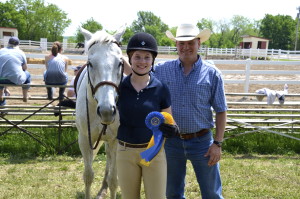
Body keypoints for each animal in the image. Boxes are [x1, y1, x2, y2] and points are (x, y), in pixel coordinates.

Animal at [76, 26, 125, 199]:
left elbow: (114, 180)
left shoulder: (116, 140)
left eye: (120, 63)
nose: (106, 111)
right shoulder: (84, 139)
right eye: (90, 63)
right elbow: (88, 176)